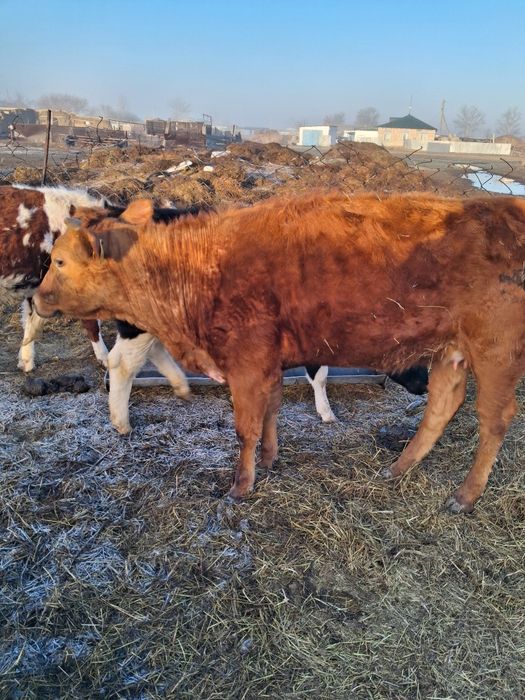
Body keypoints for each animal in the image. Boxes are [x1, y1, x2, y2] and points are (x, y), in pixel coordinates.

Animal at [34, 191, 525, 513]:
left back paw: (465, 495)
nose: (36, 298)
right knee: (442, 405)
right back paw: (399, 467)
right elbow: (271, 410)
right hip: (451, 350)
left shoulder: (248, 363)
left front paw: (241, 485)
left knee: (494, 419)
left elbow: (246, 428)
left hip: (496, 351)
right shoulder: (267, 362)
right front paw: (269, 460)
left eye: (59, 261)